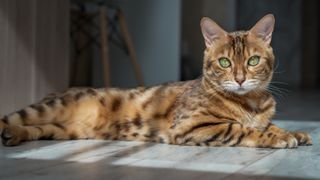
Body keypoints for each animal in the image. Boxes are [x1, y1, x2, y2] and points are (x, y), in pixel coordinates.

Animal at [0, 14, 312, 148]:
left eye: (252, 61)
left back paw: (14, 136)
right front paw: (278, 137)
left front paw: (293, 132)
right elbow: (240, 128)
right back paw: (8, 131)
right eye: (224, 62)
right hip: (46, 109)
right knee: (9, 117)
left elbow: (268, 124)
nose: (240, 79)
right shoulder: (191, 125)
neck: (251, 102)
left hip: (65, 129)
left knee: (35, 129)